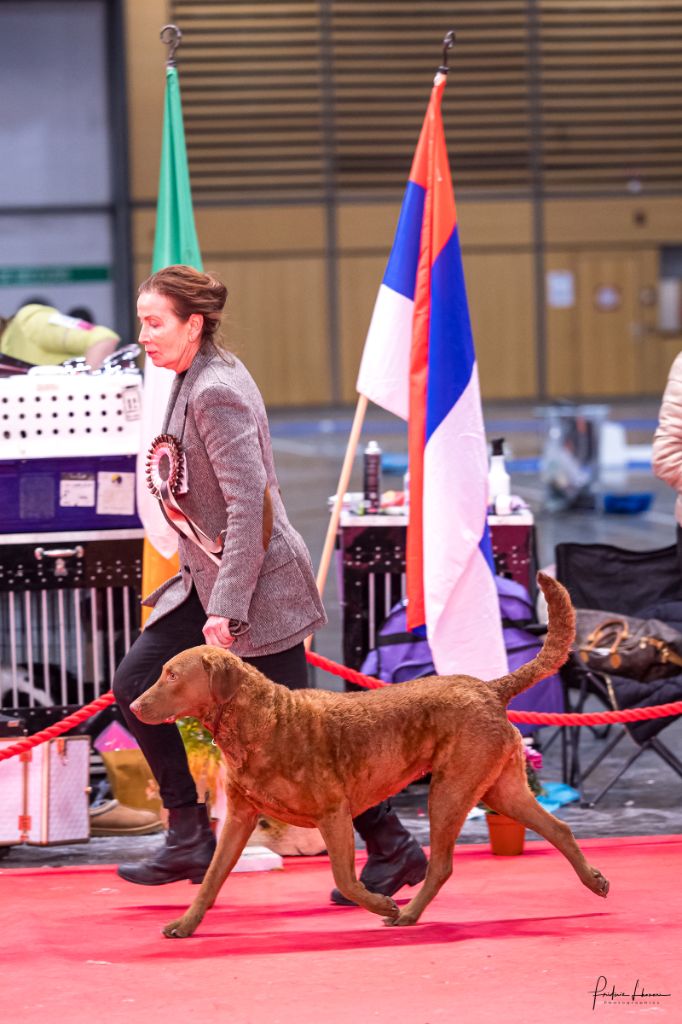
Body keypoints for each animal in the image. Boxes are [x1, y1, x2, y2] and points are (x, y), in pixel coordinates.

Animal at [131, 572, 609, 938]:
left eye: (171, 675)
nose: (133, 706)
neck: (260, 722)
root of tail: (489, 687)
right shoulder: (240, 816)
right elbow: (212, 878)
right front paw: (184, 925)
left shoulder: (334, 813)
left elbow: (344, 876)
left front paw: (383, 904)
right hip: (500, 787)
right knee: (558, 828)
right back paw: (595, 881)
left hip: (452, 789)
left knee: (442, 864)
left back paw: (407, 913)